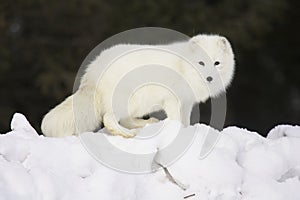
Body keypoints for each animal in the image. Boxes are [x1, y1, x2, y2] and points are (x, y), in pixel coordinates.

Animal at [41, 34, 236, 138]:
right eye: (201, 63)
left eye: (217, 63)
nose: (209, 77)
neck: (183, 66)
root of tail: (92, 70)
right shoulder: (172, 100)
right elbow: (176, 120)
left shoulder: (186, 102)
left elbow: (185, 121)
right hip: (129, 100)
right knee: (109, 119)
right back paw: (127, 134)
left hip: (140, 103)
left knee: (125, 119)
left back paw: (145, 124)